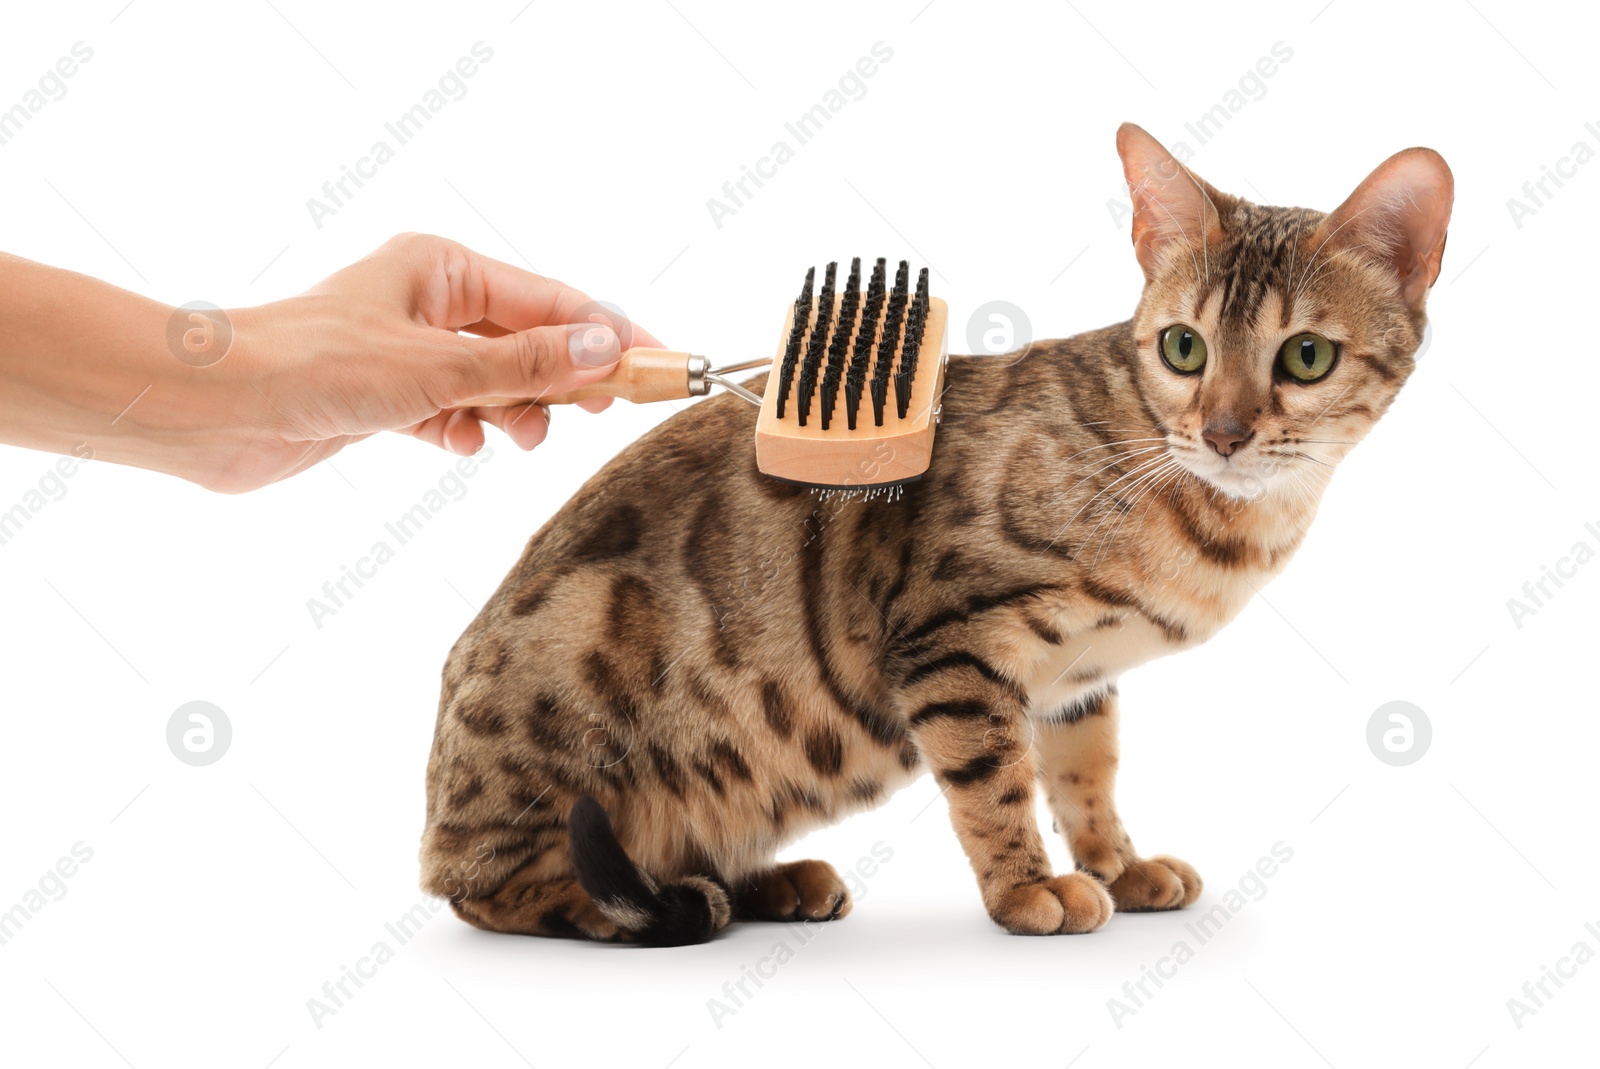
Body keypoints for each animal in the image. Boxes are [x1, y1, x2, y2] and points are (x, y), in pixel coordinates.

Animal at [419, 123, 1459, 940]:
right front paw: (1032, 890)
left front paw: (1119, 865)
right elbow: (995, 783)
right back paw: (645, 901)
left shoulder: (1078, 679)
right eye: (1184, 347)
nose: (1227, 432)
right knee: (487, 889)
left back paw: (770, 881)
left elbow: (1087, 775)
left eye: (1306, 356)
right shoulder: (953, 642)